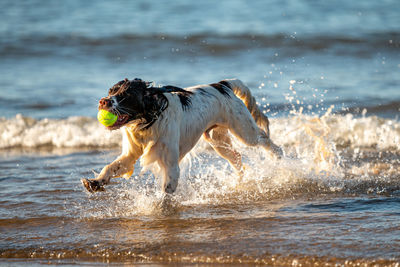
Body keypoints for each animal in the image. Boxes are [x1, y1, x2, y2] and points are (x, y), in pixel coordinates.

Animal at [80, 78, 282, 194]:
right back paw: (239, 181)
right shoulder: (130, 154)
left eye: (126, 95)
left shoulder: (170, 164)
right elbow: (110, 167)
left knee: (264, 139)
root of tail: (221, 85)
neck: (148, 121)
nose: (103, 101)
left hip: (243, 131)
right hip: (217, 140)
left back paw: (278, 158)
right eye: (110, 91)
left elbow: (166, 190)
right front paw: (95, 182)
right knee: (237, 158)